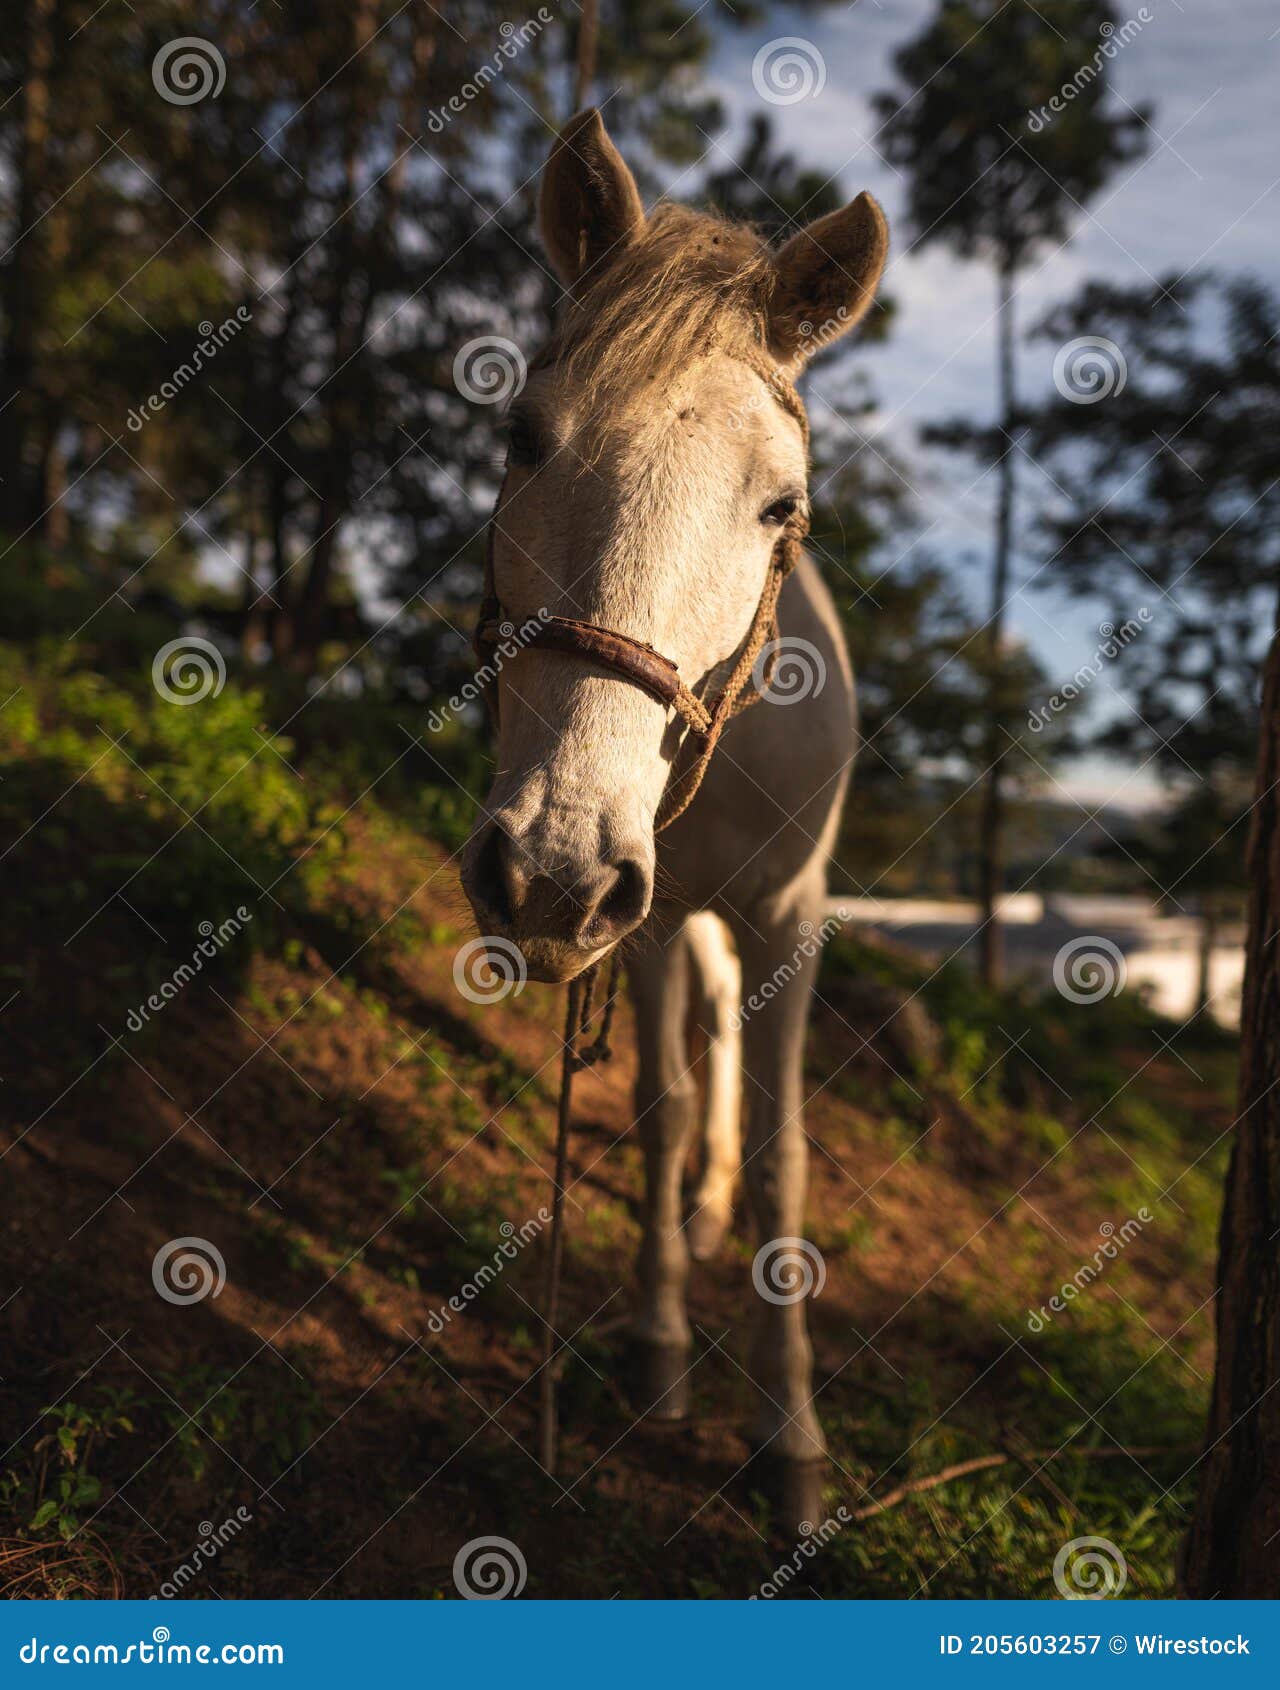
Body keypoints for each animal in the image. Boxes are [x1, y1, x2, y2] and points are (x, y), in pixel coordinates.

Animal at [463, 109, 886, 1534]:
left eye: (780, 503)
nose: (544, 867)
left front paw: (788, 1437)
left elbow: (779, 1159)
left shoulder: (788, 916)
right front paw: (657, 1349)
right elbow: (657, 1100)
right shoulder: (631, 918)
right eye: (521, 439)